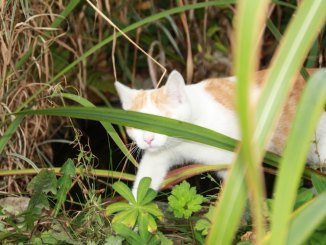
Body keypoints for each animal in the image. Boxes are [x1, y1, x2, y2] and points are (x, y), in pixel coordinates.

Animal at [114, 69, 326, 197]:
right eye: (137, 125)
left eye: (163, 120)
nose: (148, 139)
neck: (184, 140)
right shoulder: (159, 156)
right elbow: (144, 182)